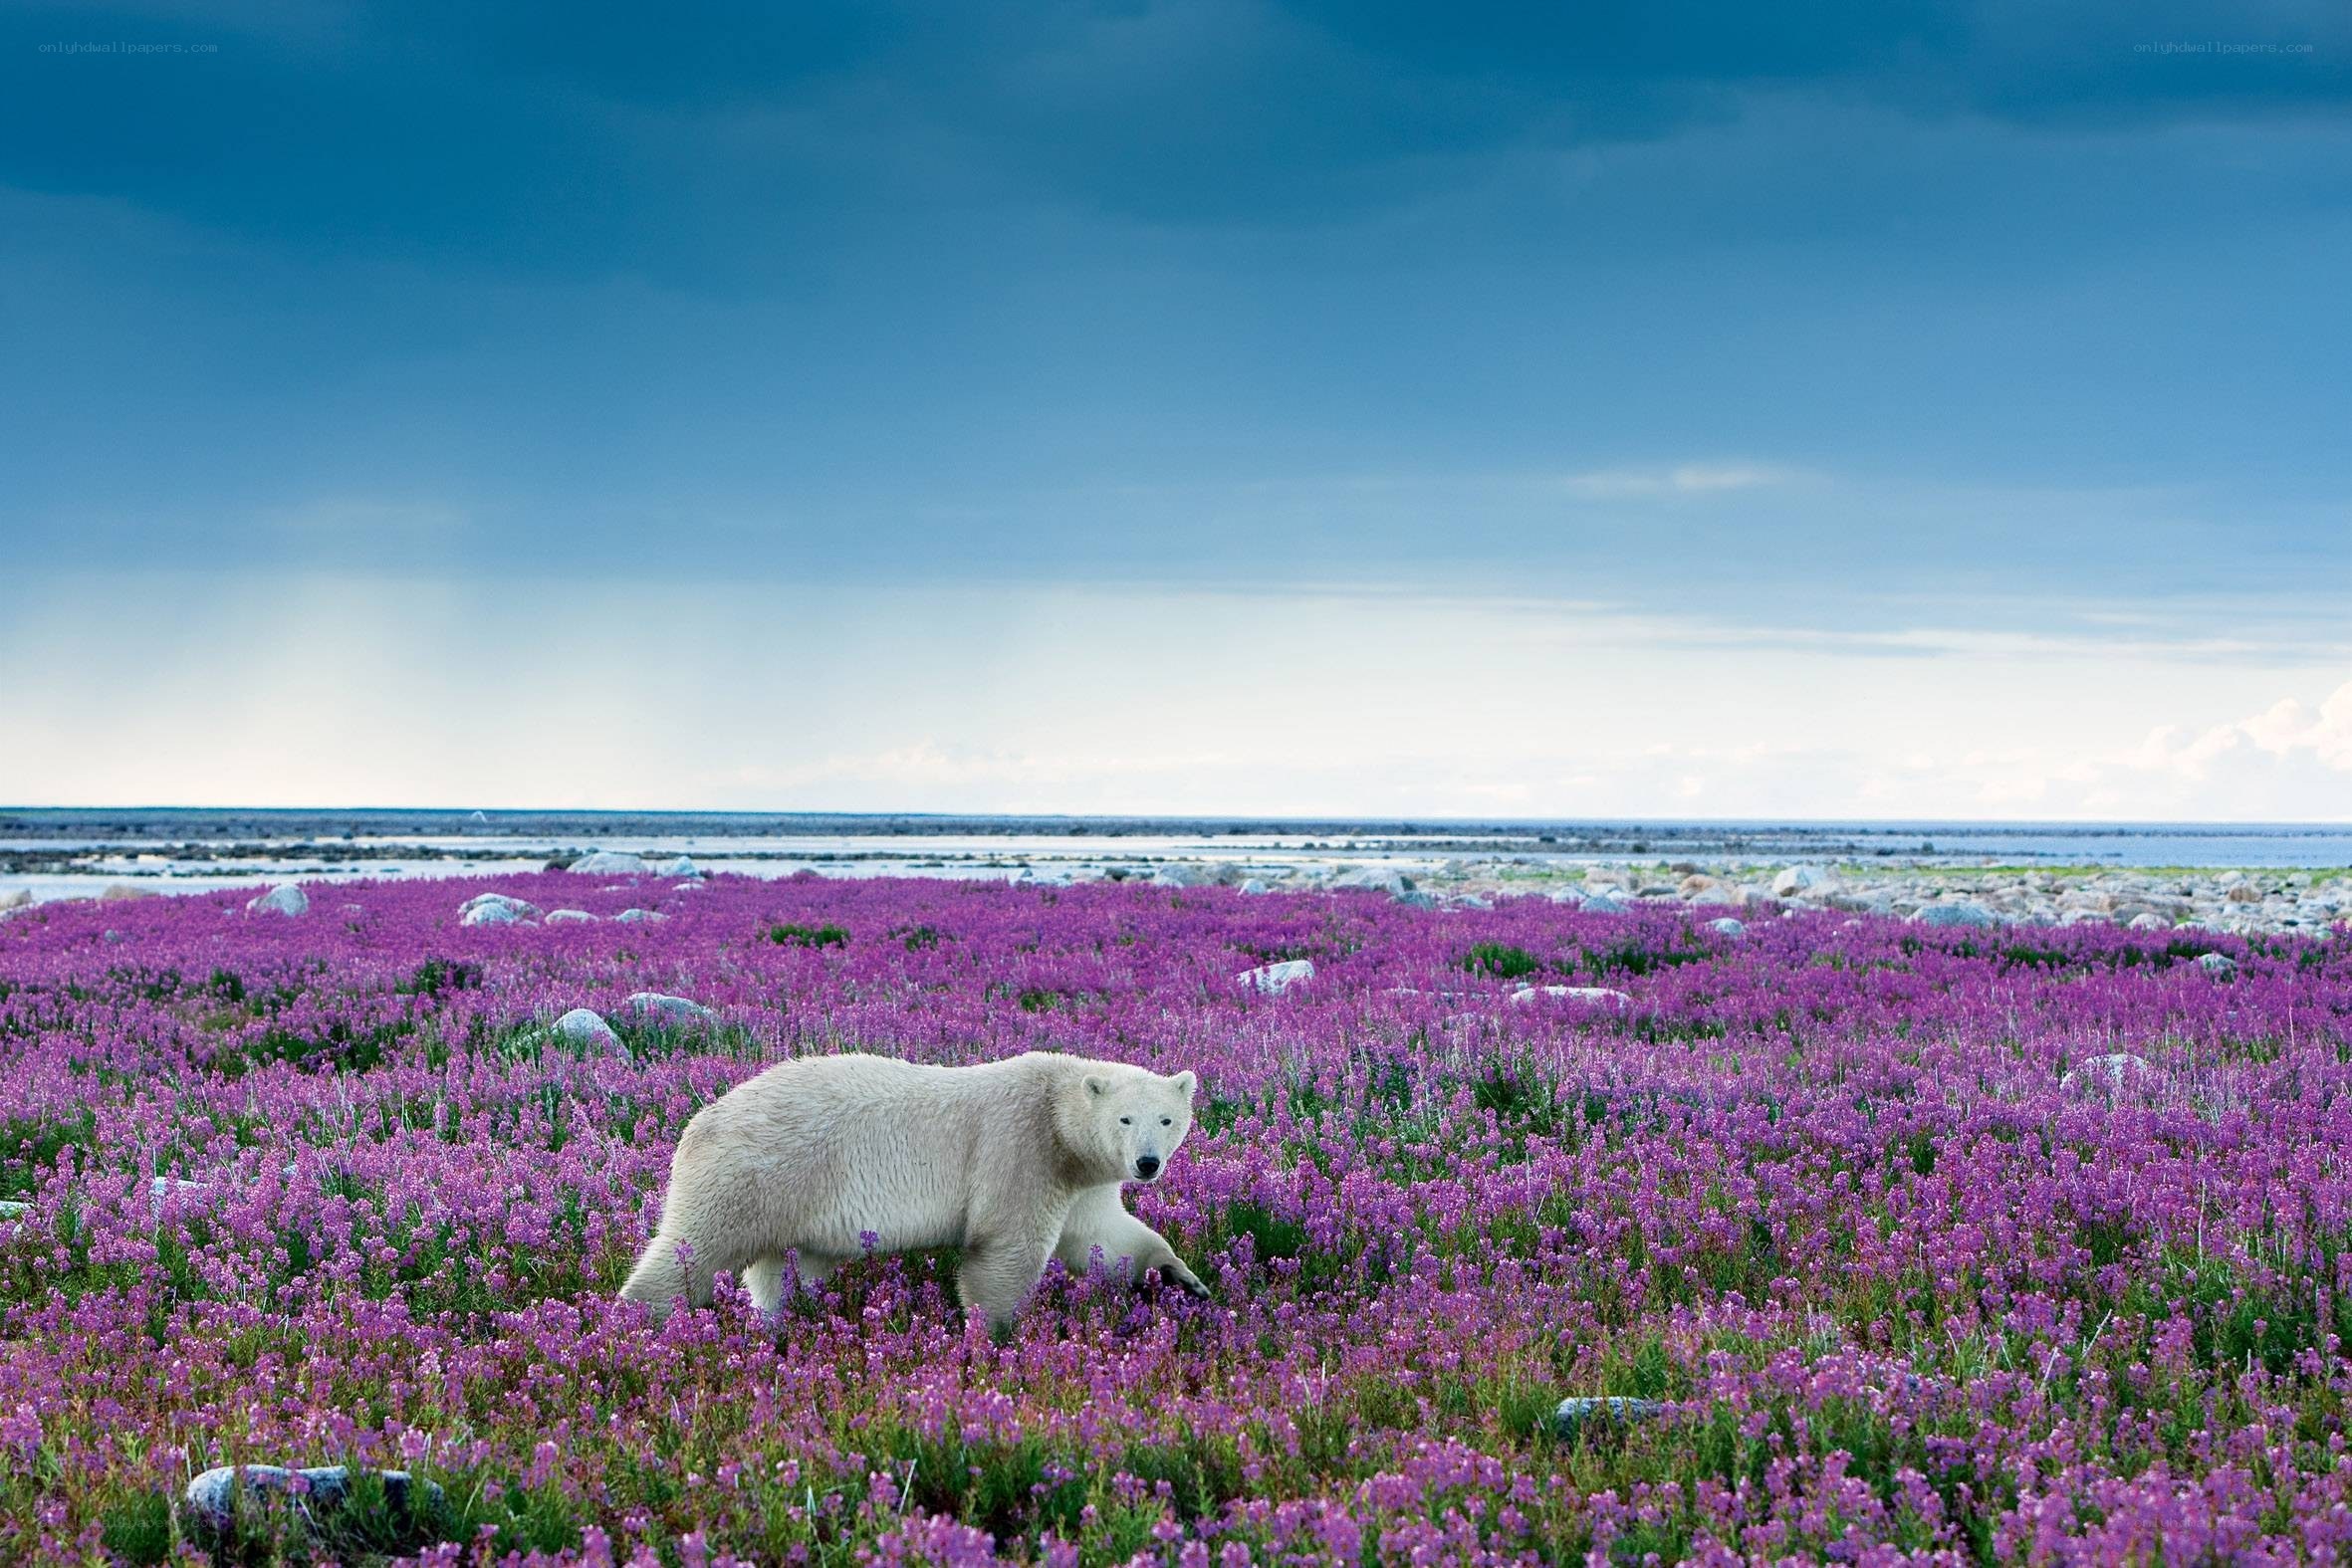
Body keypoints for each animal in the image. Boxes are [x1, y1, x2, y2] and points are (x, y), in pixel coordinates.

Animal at [619, 1051, 1207, 1336]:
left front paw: (1181, 1278)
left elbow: (1104, 1235)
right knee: (693, 1250)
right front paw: (994, 1334)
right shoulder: (1020, 1149)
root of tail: (699, 1122)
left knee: (781, 1271)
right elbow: (1005, 1250)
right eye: (1125, 1118)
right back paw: (637, 1324)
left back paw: (777, 1323)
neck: (1058, 1119)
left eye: (1167, 1118)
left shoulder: (1082, 1177)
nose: (1147, 1163)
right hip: (753, 1174)